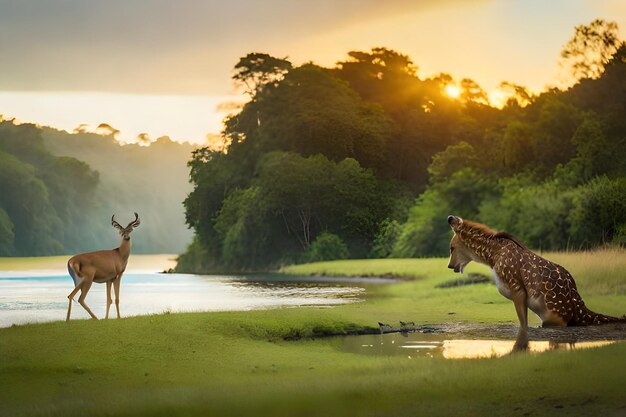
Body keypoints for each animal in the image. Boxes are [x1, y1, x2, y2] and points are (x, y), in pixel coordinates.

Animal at [446, 214, 620, 344]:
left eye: (451, 247)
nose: (450, 265)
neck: (492, 257)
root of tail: (579, 304)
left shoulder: (517, 288)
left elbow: (523, 324)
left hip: (554, 319)